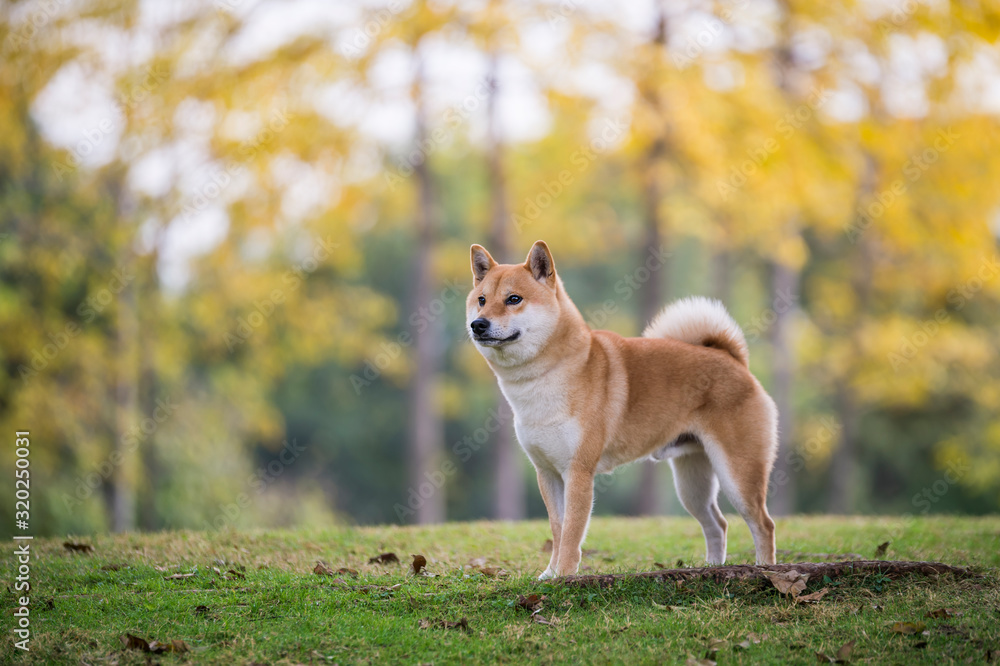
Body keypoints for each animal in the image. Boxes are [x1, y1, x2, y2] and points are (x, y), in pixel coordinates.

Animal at [464, 240, 776, 576]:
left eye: (514, 299)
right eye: (481, 300)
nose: (478, 324)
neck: (545, 378)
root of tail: (733, 360)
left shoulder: (578, 472)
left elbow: (571, 532)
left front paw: (564, 575)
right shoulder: (547, 472)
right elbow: (557, 529)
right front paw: (550, 573)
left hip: (737, 474)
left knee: (763, 524)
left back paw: (765, 568)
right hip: (692, 484)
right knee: (717, 524)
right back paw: (711, 569)